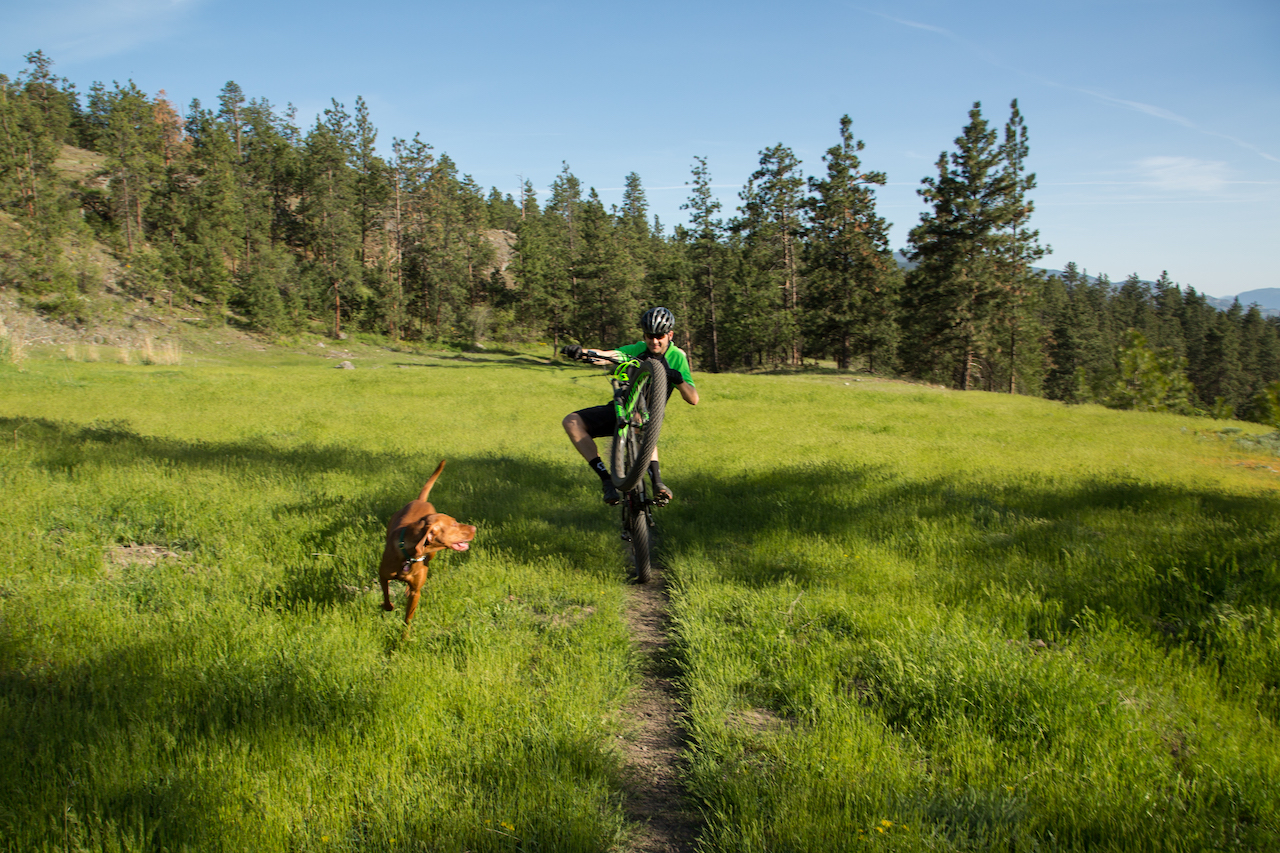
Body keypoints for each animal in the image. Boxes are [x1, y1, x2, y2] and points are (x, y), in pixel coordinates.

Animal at [381, 461, 481, 622]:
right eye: (454, 524)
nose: (474, 528)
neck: (408, 555)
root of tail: (420, 501)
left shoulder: (416, 592)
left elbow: (408, 619)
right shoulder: (383, 575)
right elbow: (386, 595)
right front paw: (388, 606)